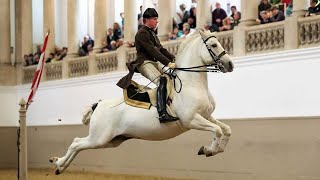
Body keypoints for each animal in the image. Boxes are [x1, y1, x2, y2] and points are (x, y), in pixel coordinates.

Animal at [50, 28, 235, 174]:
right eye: (213, 45)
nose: (230, 64)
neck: (191, 83)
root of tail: (98, 105)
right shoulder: (191, 120)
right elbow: (218, 130)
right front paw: (209, 149)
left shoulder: (207, 116)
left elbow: (225, 130)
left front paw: (212, 149)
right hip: (99, 138)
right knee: (76, 144)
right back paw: (58, 164)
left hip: (110, 141)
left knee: (78, 144)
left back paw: (59, 165)